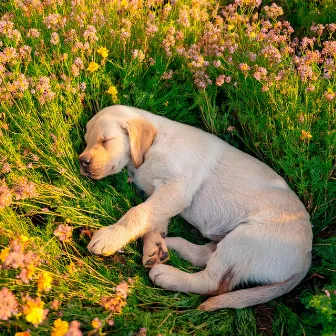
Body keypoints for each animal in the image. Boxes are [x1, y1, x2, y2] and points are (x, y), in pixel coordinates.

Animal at [79, 104, 312, 310]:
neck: (153, 146)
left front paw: (110, 236)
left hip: (246, 237)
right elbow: (153, 219)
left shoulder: (176, 188)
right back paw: (174, 245)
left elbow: (138, 212)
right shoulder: (160, 194)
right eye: (86, 141)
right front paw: (154, 247)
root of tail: (306, 259)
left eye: (105, 140)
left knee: (212, 283)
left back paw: (167, 275)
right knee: (206, 256)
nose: (82, 161)